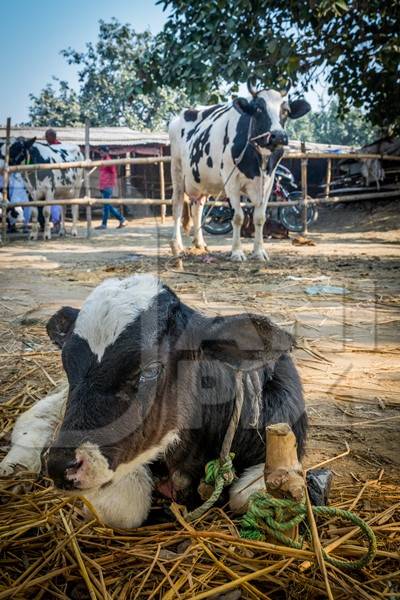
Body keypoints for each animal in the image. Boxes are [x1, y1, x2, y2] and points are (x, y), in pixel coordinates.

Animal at [0, 274, 308, 528]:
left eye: (150, 369)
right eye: (67, 363)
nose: (61, 466)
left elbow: (246, 496)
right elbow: (127, 509)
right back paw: (16, 466)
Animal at [170, 79, 310, 260]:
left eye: (286, 111)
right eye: (258, 109)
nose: (278, 136)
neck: (258, 160)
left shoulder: (268, 182)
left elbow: (260, 218)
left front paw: (259, 252)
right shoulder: (231, 182)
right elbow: (237, 217)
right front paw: (237, 252)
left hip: (201, 180)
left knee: (197, 208)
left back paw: (199, 244)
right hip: (177, 171)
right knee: (177, 207)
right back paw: (177, 245)